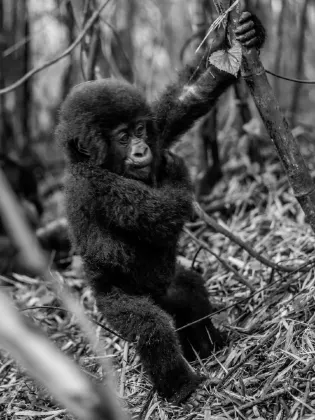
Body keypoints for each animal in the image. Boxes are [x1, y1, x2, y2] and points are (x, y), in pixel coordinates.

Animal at [57, 13, 266, 406]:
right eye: (123, 137)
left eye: (140, 129)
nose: (142, 150)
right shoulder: (96, 185)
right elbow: (159, 213)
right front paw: (176, 169)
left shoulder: (158, 126)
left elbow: (183, 103)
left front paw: (237, 36)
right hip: (112, 301)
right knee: (150, 327)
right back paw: (180, 386)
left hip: (167, 286)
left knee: (189, 289)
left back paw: (208, 345)